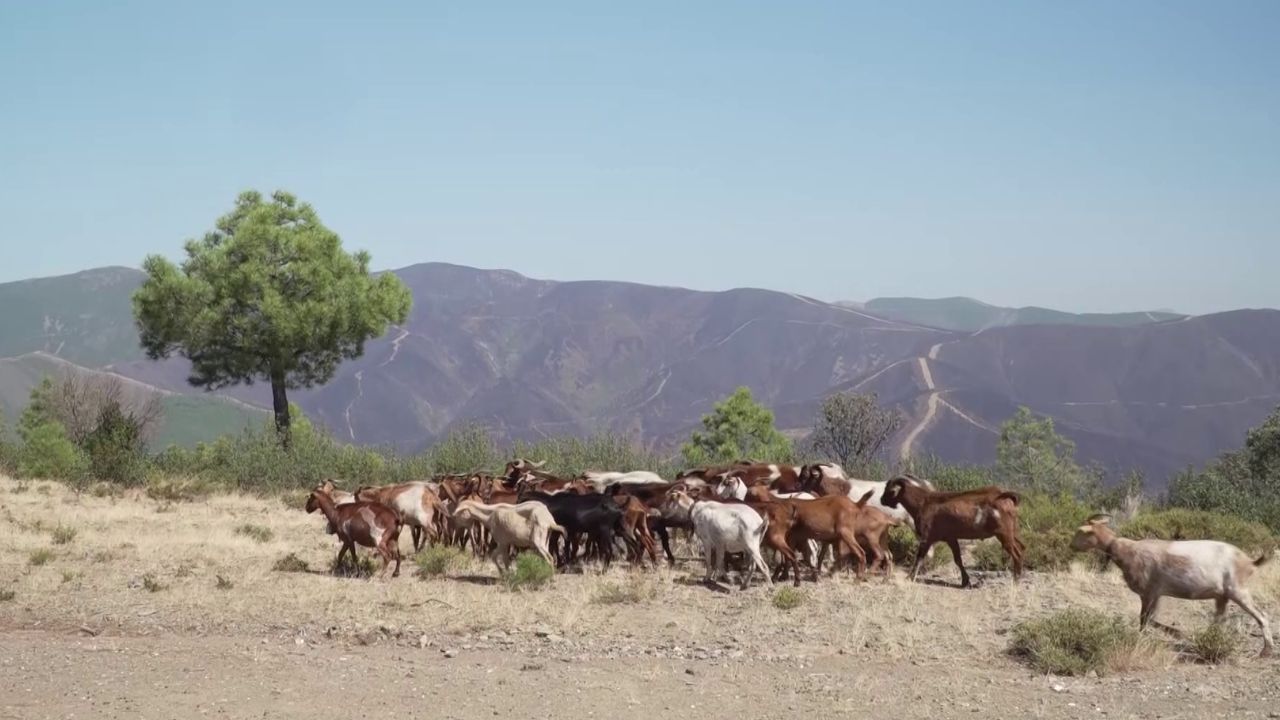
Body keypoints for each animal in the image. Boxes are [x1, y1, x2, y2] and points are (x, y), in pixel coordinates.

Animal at [881, 475, 1023, 588]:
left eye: (889, 490)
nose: (882, 500)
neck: (923, 502)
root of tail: (1005, 498)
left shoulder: (927, 537)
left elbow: (919, 557)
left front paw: (909, 577)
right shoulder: (951, 538)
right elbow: (958, 559)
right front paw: (965, 582)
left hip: (1004, 534)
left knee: (1017, 553)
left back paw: (1016, 581)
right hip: (1013, 533)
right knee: (1022, 547)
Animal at [1072, 514, 1274, 656]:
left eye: (1081, 531)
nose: (1071, 546)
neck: (1128, 550)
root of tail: (1249, 562)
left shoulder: (1149, 592)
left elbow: (1145, 620)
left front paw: (1175, 633)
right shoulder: (1157, 594)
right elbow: (1149, 619)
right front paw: (1175, 633)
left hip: (1237, 590)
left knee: (1262, 616)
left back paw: (1266, 651)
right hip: (1222, 596)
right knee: (1219, 622)